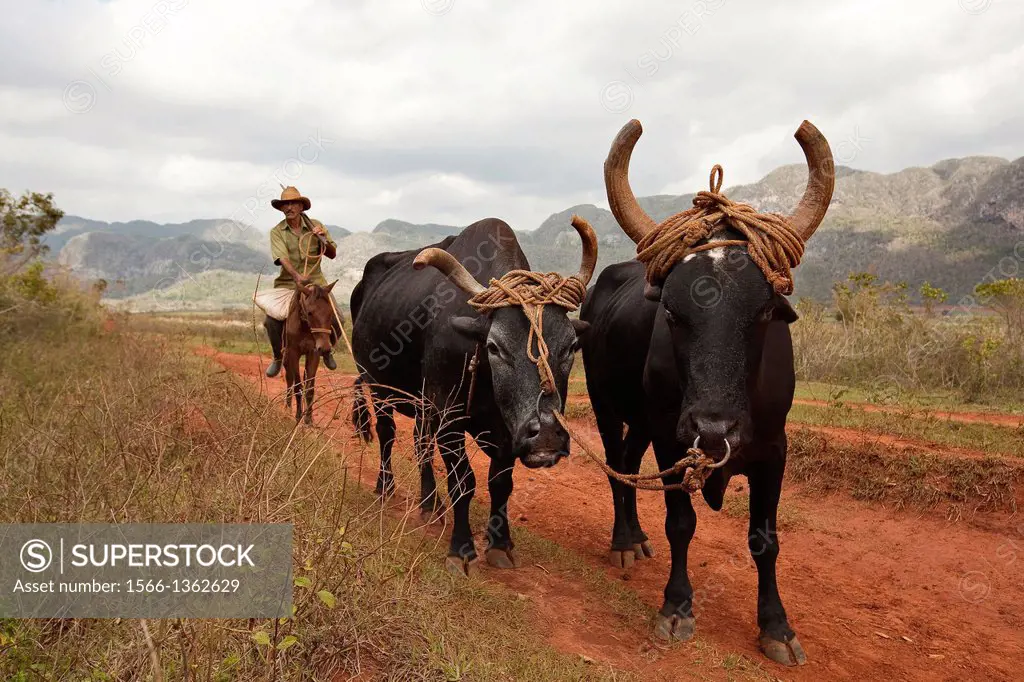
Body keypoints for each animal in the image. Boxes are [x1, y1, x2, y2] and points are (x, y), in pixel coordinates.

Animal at [282, 280, 337, 419]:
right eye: (310, 313)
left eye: (331, 313)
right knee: (289, 379)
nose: (325, 348)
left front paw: (308, 420)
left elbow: (310, 388)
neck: (305, 327)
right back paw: (287, 409)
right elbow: (298, 386)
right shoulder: (294, 353)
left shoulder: (313, 352)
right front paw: (298, 416)